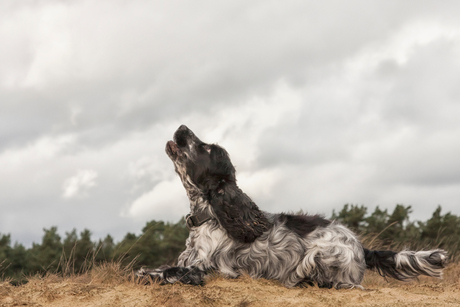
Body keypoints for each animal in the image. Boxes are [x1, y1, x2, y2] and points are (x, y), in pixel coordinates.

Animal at [136, 125, 446, 288]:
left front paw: (150, 273)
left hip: (322, 257)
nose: (182, 128)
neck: (211, 216)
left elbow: (171, 272)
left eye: (207, 149)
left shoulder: (210, 269)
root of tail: (360, 245)